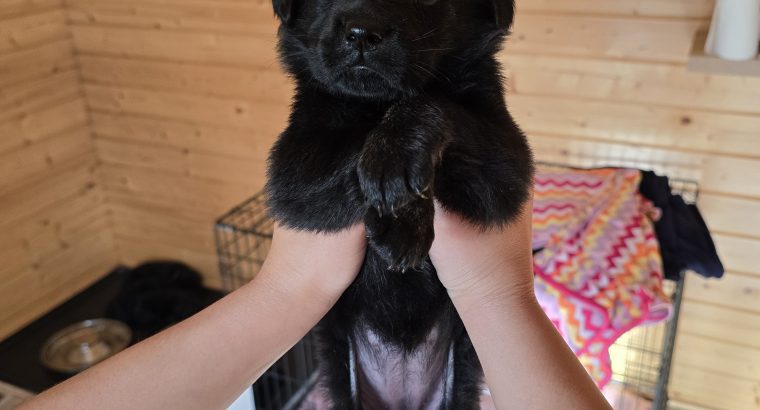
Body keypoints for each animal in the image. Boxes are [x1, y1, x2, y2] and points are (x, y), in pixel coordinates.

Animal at [268, 0, 536, 408]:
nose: (363, 32)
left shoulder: (508, 164)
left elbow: (431, 101)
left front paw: (396, 171)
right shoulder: (292, 170)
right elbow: (357, 138)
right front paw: (397, 201)